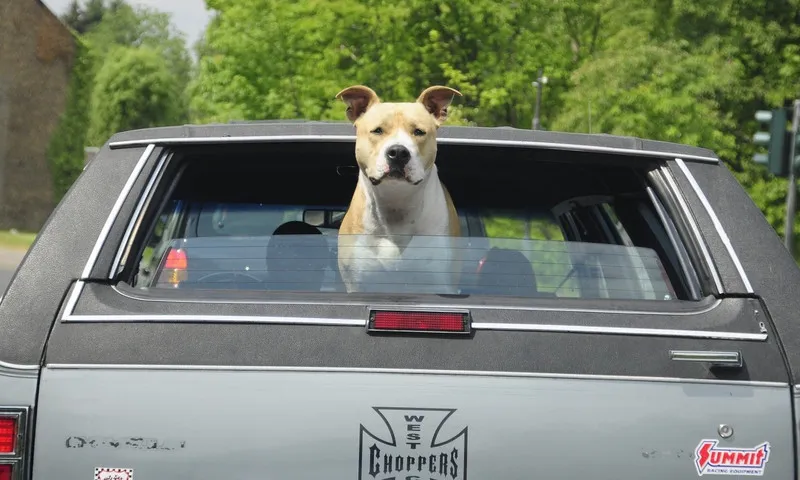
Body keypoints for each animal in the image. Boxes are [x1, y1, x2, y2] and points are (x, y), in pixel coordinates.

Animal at [335, 85, 463, 294]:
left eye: (419, 132)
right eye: (377, 131)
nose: (398, 152)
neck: (396, 200)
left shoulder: (443, 283)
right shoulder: (356, 283)